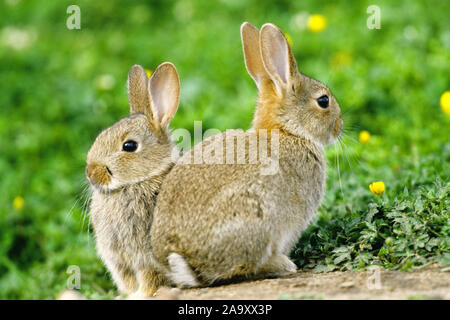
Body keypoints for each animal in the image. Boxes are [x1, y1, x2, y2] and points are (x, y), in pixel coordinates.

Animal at [85, 62, 180, 298]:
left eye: (129, 146)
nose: (90, 172)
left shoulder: (147, 258)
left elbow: (149, 279)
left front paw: (141, 295)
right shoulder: (119, 261)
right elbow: (127, 279)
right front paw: (125, 295)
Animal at [149, 21, 342, 288]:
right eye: (323, 101)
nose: (339, 127)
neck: (287, 131)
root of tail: (182, 259)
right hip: (256, 219)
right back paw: (283, 265)